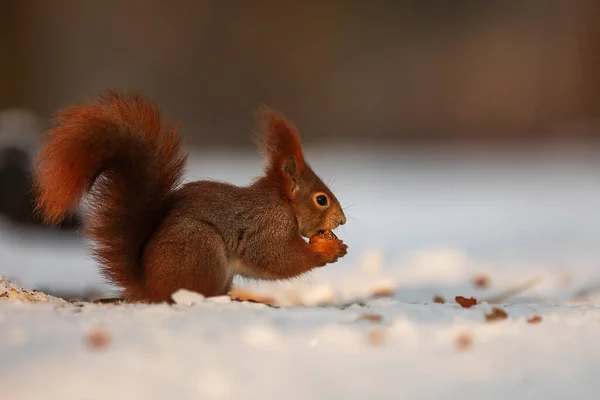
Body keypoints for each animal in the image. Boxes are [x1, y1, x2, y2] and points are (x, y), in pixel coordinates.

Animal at [34, 90, 346, 304]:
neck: (282, 203)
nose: (342, 220)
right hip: (202, 249)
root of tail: (148, 287)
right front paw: (328, 250)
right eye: (321, 199)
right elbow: (277, 257)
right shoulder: (268, 226)